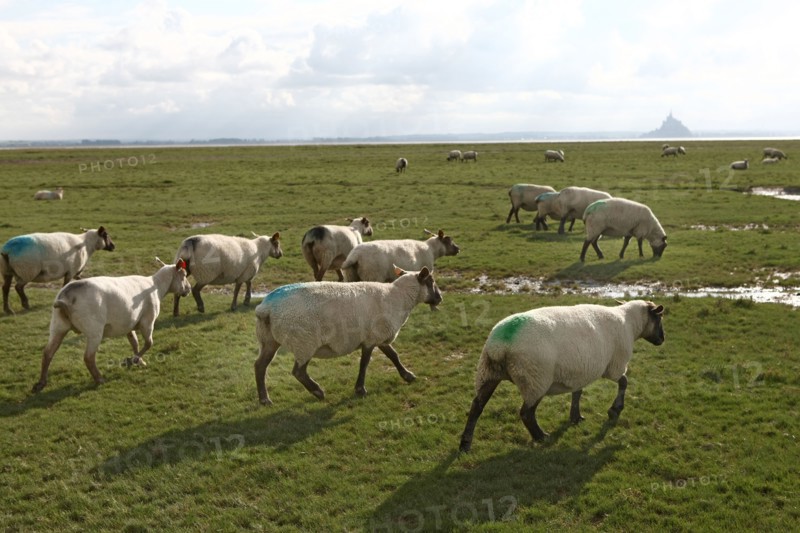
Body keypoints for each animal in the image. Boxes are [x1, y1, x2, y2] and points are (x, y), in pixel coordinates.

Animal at [32, 259, 191, 392]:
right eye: (183, 275)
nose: (189, 289)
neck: (157, 286)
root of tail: (65, 298)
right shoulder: (148, 321)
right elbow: (148, 343)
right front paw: (131, 361)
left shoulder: (129, 323)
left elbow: (135, 343)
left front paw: (138, 361)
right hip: (94, 330)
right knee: (88, 357)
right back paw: (99, 379)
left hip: (58, 326)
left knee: (47, 353)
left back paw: (41, 383)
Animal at [254, 266, 442, 404]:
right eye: (431, 281)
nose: (440, 298)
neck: (398, 298)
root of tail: (265, 308)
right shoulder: (371, 338)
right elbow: (364, 363)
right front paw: (360, 389)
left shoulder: (379, 335)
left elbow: (393, 355)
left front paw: (407, 375)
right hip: (304, 342)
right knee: (298, 372)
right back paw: (318, 392)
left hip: (268, 339)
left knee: (260, 366)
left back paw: (264, 399)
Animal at [458, 300, 665, 452]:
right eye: (659, 318)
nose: (662, 340)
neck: (629, 324)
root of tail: (500, 345)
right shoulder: (614, 365)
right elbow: (624, 382)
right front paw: (615, 410)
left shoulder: (580, 369)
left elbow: (577, 393)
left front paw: (575, 417)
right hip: (536, 379)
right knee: (526, 413)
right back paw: (541, 437)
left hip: (487, 373)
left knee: (476, 407)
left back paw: (465, 444)